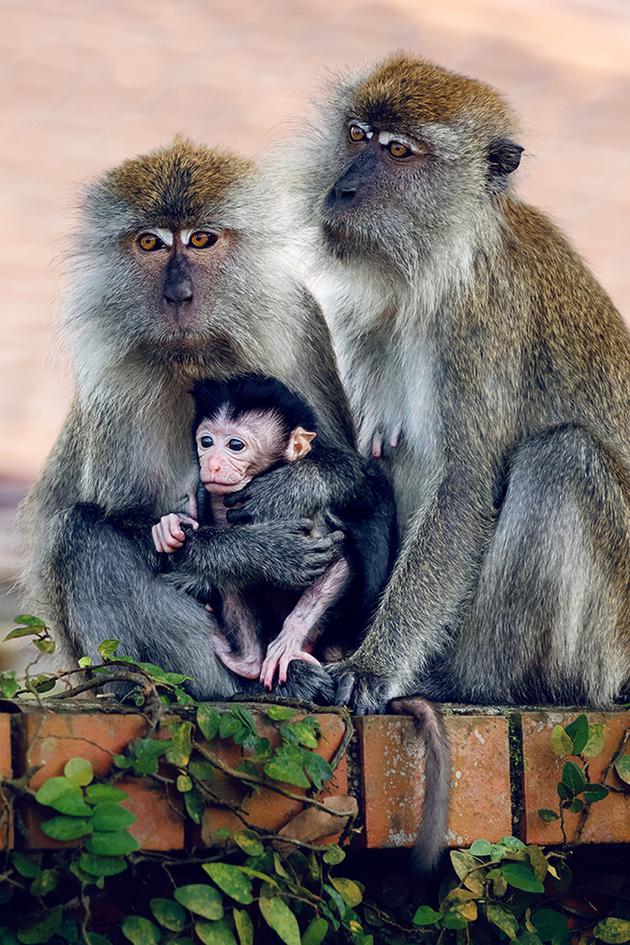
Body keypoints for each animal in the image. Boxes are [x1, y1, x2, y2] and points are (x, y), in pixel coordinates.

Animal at [152, 373, 398, 690]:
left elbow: (338, 563)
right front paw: (170, 528)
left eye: (235, 445)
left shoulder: (305, 516)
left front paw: (289, 637)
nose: (212, 464)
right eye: (206, 442)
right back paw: (245, 661)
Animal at [294, 53, 630, 717]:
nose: (342, 189)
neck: (438, 267)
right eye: (357, 135)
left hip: (609, 643)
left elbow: (464, 488)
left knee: (563, 460)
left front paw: (372, 666)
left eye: (400, 151)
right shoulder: (365, 318)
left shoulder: (479, 326)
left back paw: (473, 682)